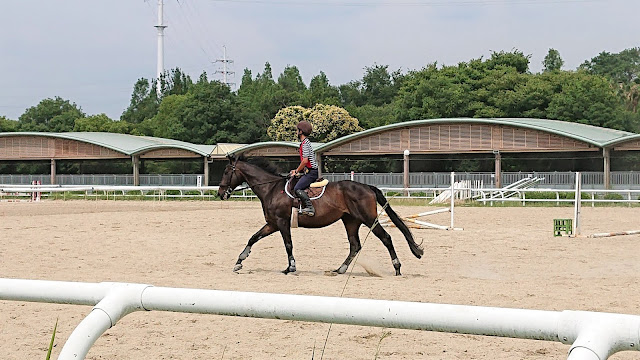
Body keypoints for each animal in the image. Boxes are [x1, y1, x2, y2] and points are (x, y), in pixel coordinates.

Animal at [218, 155, 422, 276]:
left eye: (227, 171)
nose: (220, 193)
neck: (272, 189)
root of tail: (367, 187)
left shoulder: (282, 223)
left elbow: (288, 244)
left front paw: (291, 268)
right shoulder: (272, 224)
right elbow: (253, 238)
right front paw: (239, 262)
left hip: (368, 219)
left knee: (386, 238)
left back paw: (397, 268)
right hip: (351, 221)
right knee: (355, 245)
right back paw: (340, 269)